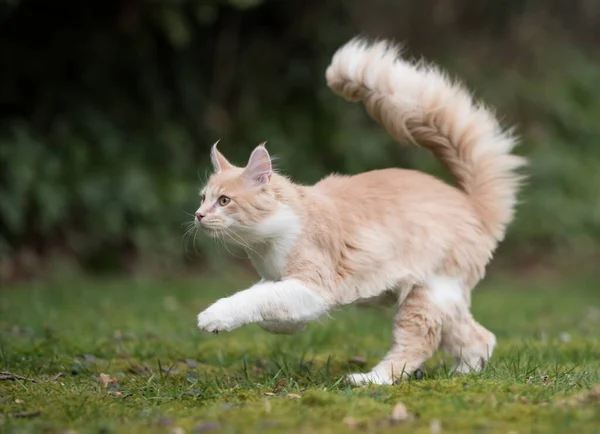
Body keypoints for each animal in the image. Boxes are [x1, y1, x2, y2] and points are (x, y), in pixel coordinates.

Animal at [193, 36, 524, 384]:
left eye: (224, 201)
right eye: (203, 198)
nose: (198, 216)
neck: (268, 241)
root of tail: (471, 203)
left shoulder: (312, 287)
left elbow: (254, 298)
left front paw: (214, 317)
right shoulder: (281, 283)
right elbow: (271, 307)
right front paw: (278, 325)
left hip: (427, 296)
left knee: (417, 346)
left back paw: (369, 380)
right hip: (443, 300)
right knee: (479, 338)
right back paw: (463, 376)